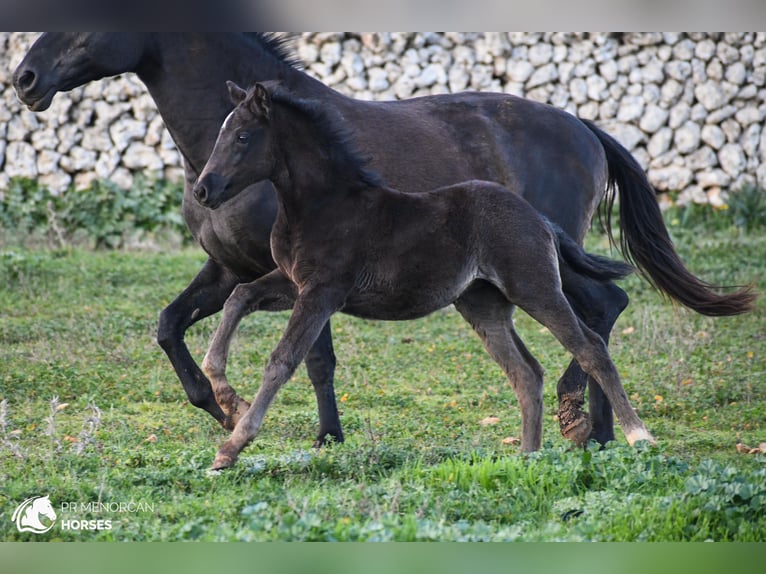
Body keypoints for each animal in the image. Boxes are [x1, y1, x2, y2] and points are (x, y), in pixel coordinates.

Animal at [12, 33, 756, 450]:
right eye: (220, 131)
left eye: (245, 135)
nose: (206, 188)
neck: (323, 202)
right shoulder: (281, 280)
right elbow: (225, 310)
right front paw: (223, 398)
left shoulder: (319, 292)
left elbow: (288, 359)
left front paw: (243, 440)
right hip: (482, 303)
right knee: (533, 367)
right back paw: (536, 451)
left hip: (535, 286)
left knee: (592, 335)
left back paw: (622, 432)